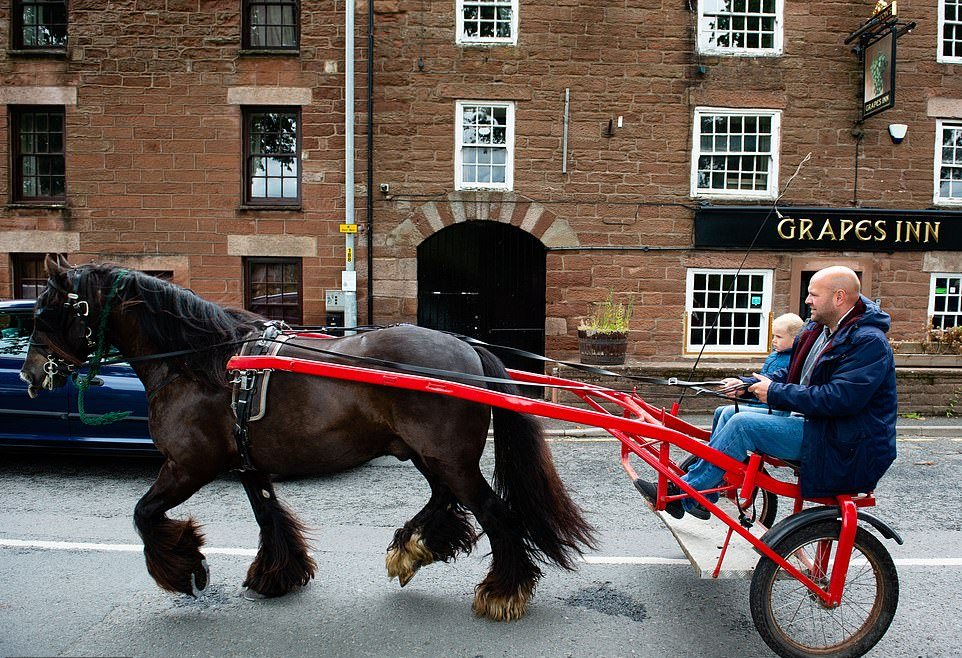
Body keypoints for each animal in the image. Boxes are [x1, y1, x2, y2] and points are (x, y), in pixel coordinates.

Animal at [20, 256, 592, 620]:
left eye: (47, 311)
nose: (29, 374)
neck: (201, 363)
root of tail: (467, 347)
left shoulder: (188, 466)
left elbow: (143, 514)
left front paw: (185, 570)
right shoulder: (248, 466)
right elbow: (268, 515)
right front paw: (278, 574)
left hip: (447, 457)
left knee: (495, 514)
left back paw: (502, 591)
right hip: (429, 455)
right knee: (444, 499)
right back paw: (412, 548)